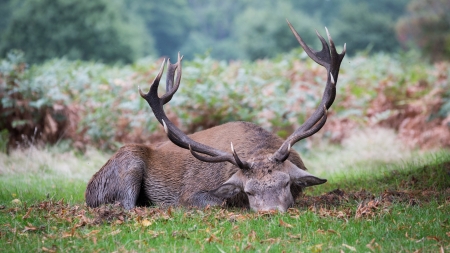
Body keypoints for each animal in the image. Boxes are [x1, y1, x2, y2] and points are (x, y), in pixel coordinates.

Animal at [86, 21, 346, 211]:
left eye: (286, 184)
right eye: (248, 191)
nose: (270, 211)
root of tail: (88, 191)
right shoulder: (191, 193)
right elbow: (216, 203)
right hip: (128, 164)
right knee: (127, 205)